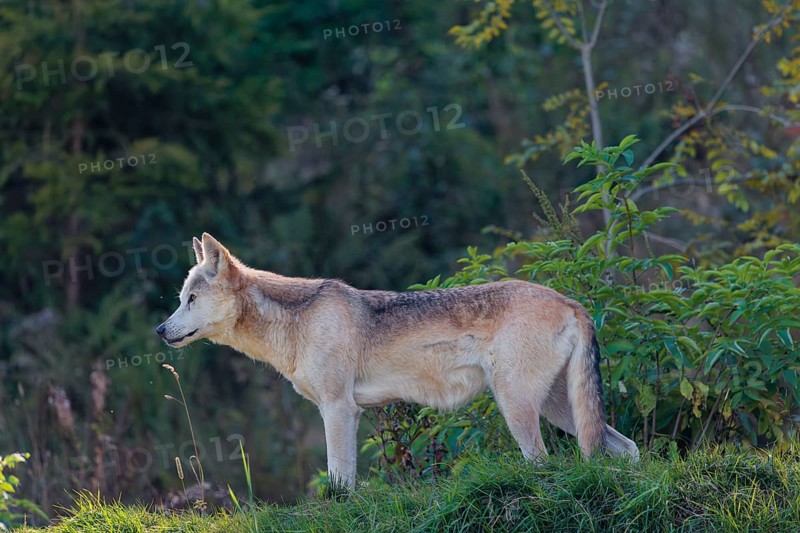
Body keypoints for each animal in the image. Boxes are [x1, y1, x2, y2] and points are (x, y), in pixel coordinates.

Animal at [156, 233, 638, 489]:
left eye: (191, 299)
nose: (160, 330)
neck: (294, 324)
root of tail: (571, 302)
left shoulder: (338, 410)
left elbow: (339, 482)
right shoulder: (343, 412)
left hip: (517, 407)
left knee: (543, 463)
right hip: (559, 410)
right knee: (625, 448)